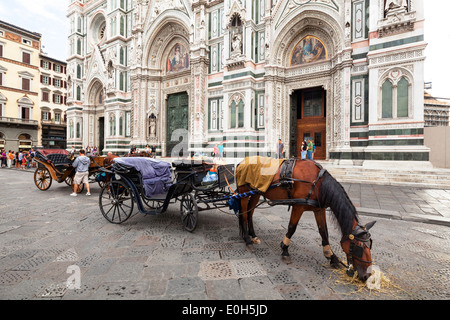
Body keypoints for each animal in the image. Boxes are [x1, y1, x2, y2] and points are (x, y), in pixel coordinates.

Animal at [236, 159, 376, 282]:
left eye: (370, 245)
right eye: (359, 247)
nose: (367, 276)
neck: (317, 183)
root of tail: (241, 162)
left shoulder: (319, 209)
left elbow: (323, 231)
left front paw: (332, 257)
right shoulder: (298, 207)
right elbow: (292, 227)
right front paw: (285, 250)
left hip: (256, 193)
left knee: (250, 213)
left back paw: (253, 236)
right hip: (244, 193)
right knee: (244, 215)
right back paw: (247, 240)